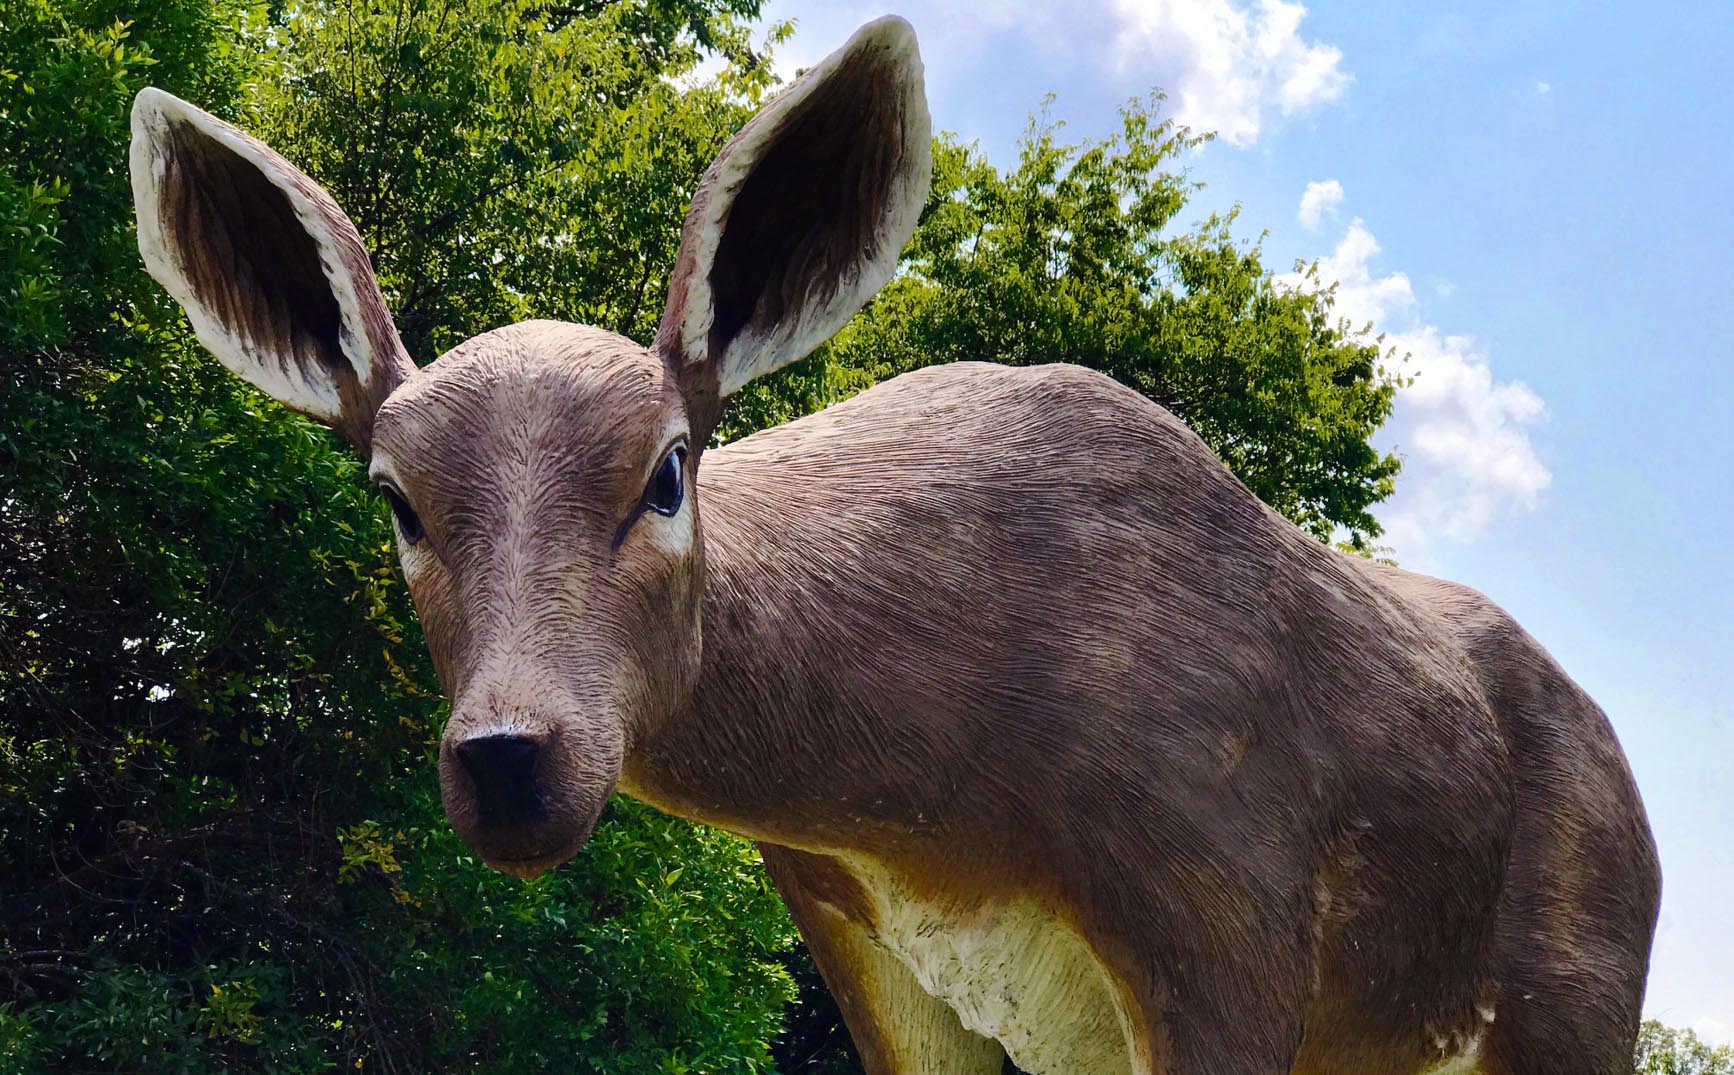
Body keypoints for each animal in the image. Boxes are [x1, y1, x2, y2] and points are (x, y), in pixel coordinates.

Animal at [128, 15, 1659, 1075]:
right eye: (394, 497)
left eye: (667, 470)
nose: (510, 758)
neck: (942, 791)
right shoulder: (863, 936)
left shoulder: (1231, 904)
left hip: (1569, 1000)